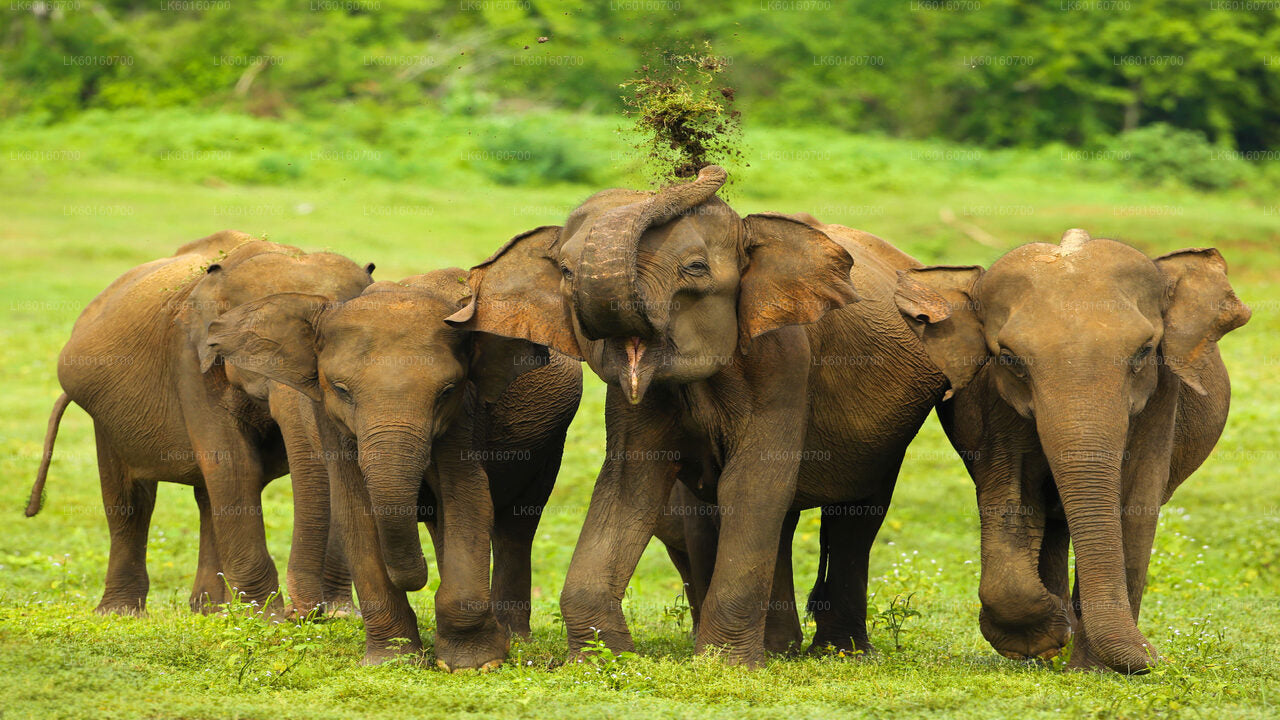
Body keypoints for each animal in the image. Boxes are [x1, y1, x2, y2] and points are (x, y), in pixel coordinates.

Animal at [26, 233, 373, 614]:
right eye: (252, 346)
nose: (306, 614)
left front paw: (339, 615)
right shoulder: (190, 360)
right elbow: (233, 465)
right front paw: (269, 618)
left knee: (206, 498)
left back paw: (209, 610)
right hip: (106, 415)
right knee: (131, 501)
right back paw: (122, 613)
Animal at [206, 269, 586, 666]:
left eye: (446, 391)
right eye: (341, 390)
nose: (417, 578)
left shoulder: (465, 414)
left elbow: (467, 498)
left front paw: (476, 663)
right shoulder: (329, 420)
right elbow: (355, 510)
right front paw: (393, 660)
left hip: (549, 442)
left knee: (517, 524)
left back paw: (514, 637)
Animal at [445, 165, 957, 666]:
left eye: (695, 269)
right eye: (566, 272)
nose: (703, 168)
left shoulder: (784, 362)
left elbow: (751, 484)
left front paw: (722, 664)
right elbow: (630, 485)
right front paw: (601, 661)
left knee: (855, 517)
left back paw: (838, 654)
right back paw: (782, 650)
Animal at [890, 226, 1249, 671]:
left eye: (1145, 352)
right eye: (1010, 359)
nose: (1158, 658)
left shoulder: (1162, 396)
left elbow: (1136, 505)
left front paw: (1093, 669)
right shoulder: (994, 401)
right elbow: (1011, 494)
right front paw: (1043, 640)